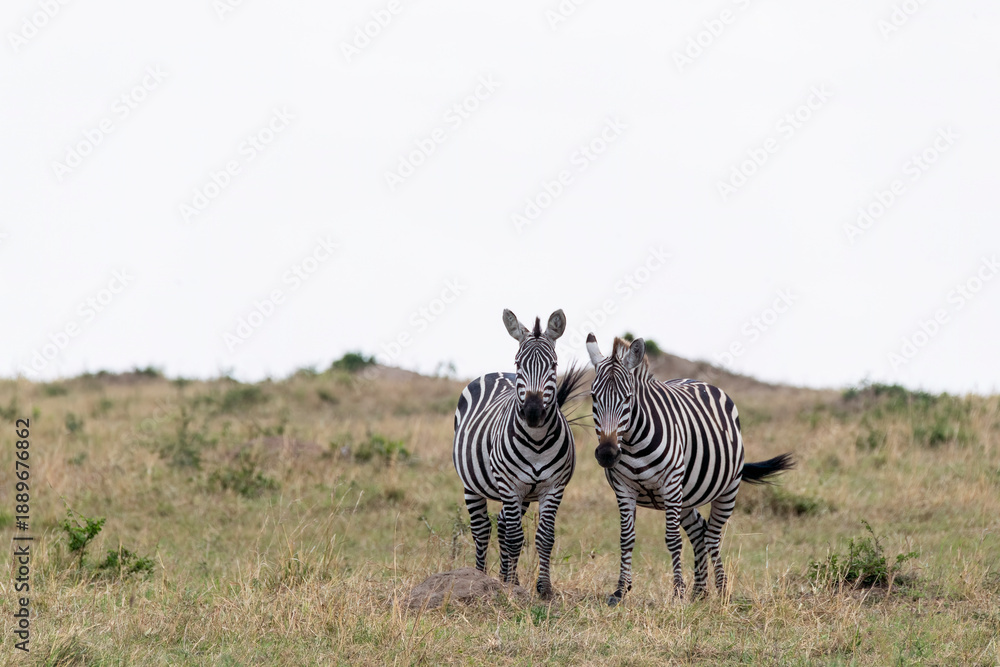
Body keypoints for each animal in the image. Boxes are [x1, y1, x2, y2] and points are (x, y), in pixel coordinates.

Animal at [453, 309, 586, 599]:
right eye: (519, 364)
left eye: (554, 365)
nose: (533, 412)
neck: (536, 441)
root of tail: (495, 373)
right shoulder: (509, 484)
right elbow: (515, 538)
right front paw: (511, 589)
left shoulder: (553, 487)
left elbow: (544, 537)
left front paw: (543, 589)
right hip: (472, 484)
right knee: (483, 529)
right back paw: (479, 577)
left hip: (523, 493)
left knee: (503, 524)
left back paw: (505, 578)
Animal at [586, 334, 794, 605]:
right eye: (593, 397)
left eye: (628, 398)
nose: (607, 454)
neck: (631, 443)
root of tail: (698, 381)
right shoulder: (624, 488)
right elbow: (626, 538)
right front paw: (620, 591)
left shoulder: (671, 484)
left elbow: (672, 540)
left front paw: (677, 593)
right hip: (685, 497)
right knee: (698, 530)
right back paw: (700, 592)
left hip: (726, 489)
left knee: (713, 535)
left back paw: (721, 589)